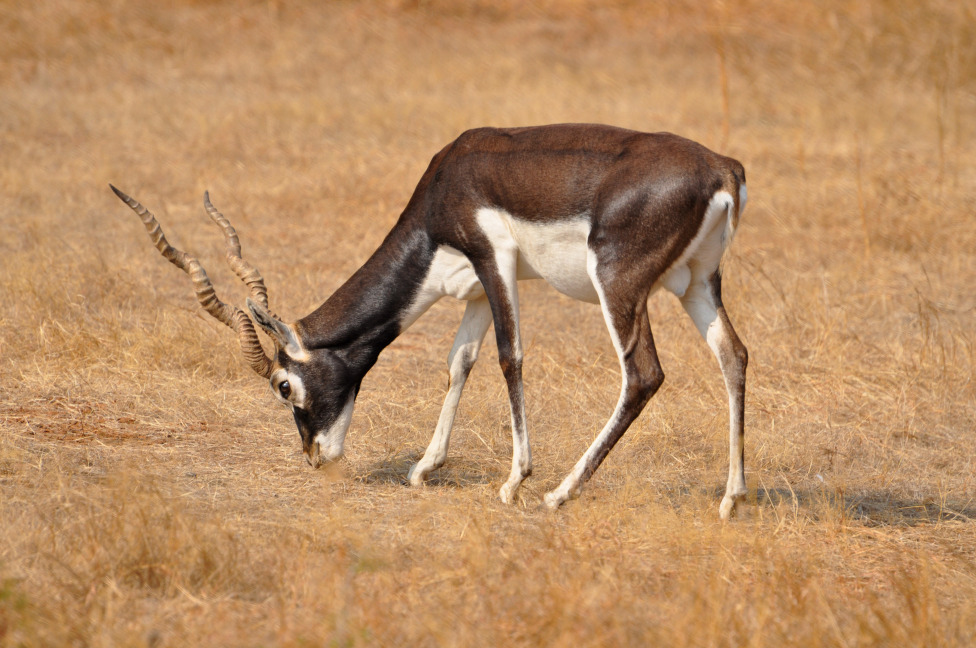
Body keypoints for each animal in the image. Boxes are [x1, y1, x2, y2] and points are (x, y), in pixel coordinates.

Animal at [116, 123, 756, 516]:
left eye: (283, 386)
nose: (315, 455)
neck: (446, 185)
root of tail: (722, 169)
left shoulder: (494, 260)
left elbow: (508, 358)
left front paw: (513, 481)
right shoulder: (471, 292)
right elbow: (458, 364)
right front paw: (425, 467)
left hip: (618, 284)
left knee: (643, 374)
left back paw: (559, 494)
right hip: (699, 282)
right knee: (734, 355)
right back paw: (732, 498)